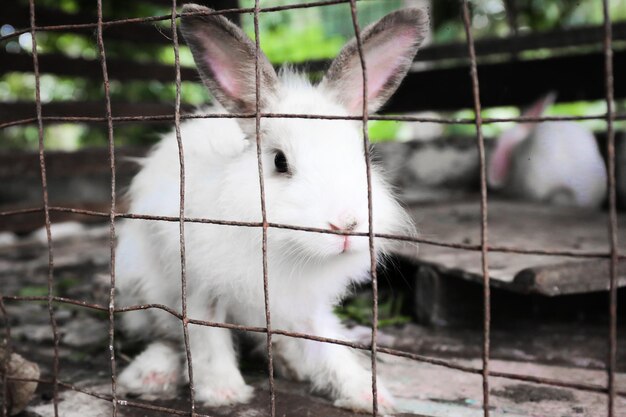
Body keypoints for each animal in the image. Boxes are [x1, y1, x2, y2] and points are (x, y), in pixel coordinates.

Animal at [114, 3, 424, 412]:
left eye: (363, 156)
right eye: (279, 161)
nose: (345, 225)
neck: (283, 250)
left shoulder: (304, 304)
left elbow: (327, 344)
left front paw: (368, 395)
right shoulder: (199, 288)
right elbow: (206, 339)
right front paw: (224, 392)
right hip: (140, 285)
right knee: (165, 336)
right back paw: (150, 375)